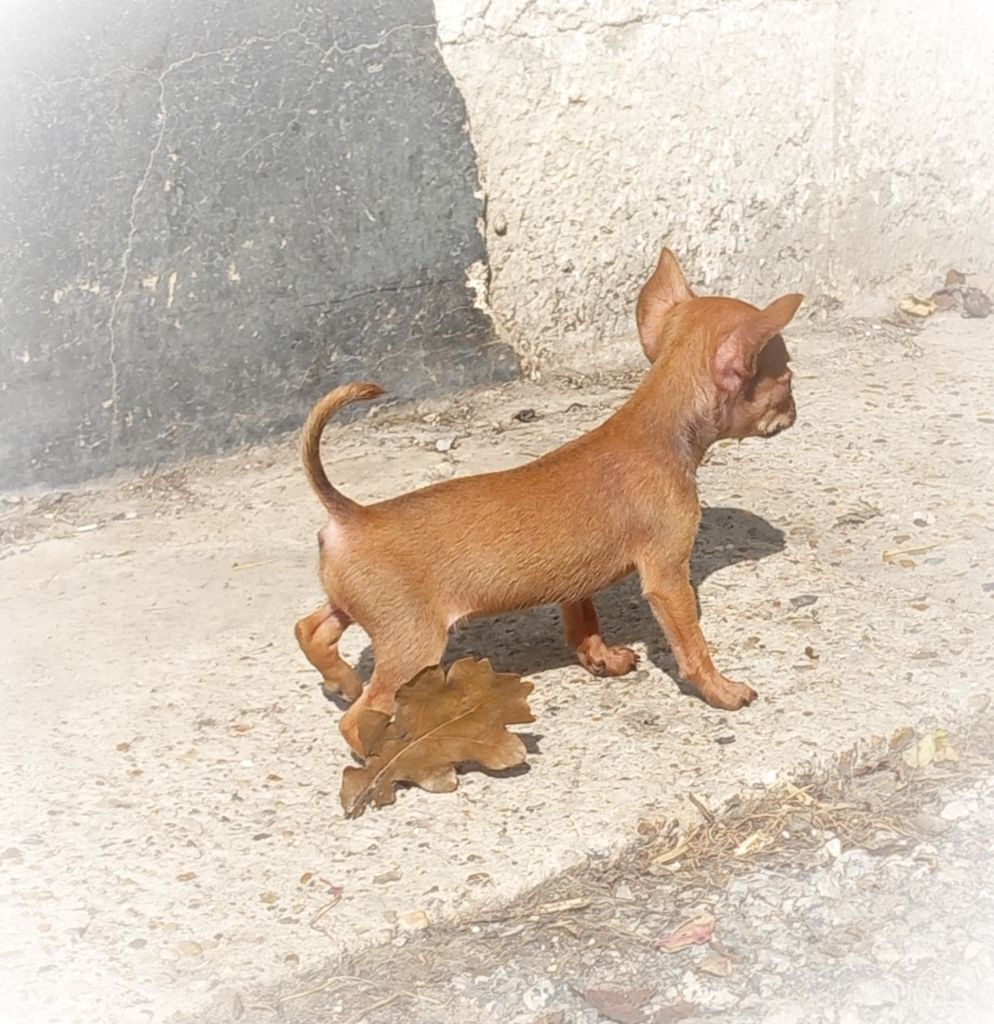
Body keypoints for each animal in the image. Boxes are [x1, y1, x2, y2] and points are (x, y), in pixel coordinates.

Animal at [296, 249, 802, 755]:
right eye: (787, 379)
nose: (796, 411)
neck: (657, 430)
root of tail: (351, 514)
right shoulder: (667, 578)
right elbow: (692, 646)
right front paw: (721, 690)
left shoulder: (575, 585)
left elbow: (584, 624)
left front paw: (602, 660)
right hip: (413, 644)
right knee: (356, 717)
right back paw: (384, 751)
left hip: (358, 608)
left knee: (310, 629)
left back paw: (342, 679)